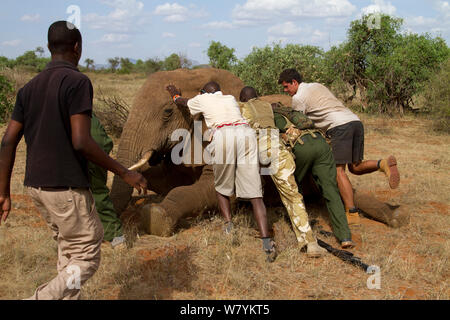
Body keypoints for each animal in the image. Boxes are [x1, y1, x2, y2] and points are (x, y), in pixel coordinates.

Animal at [110, 68, 410, 238]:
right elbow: (170, 180)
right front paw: (144, 188)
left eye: (166, 112)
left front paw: (155, 218)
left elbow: (209, 192)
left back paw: (393, 215)